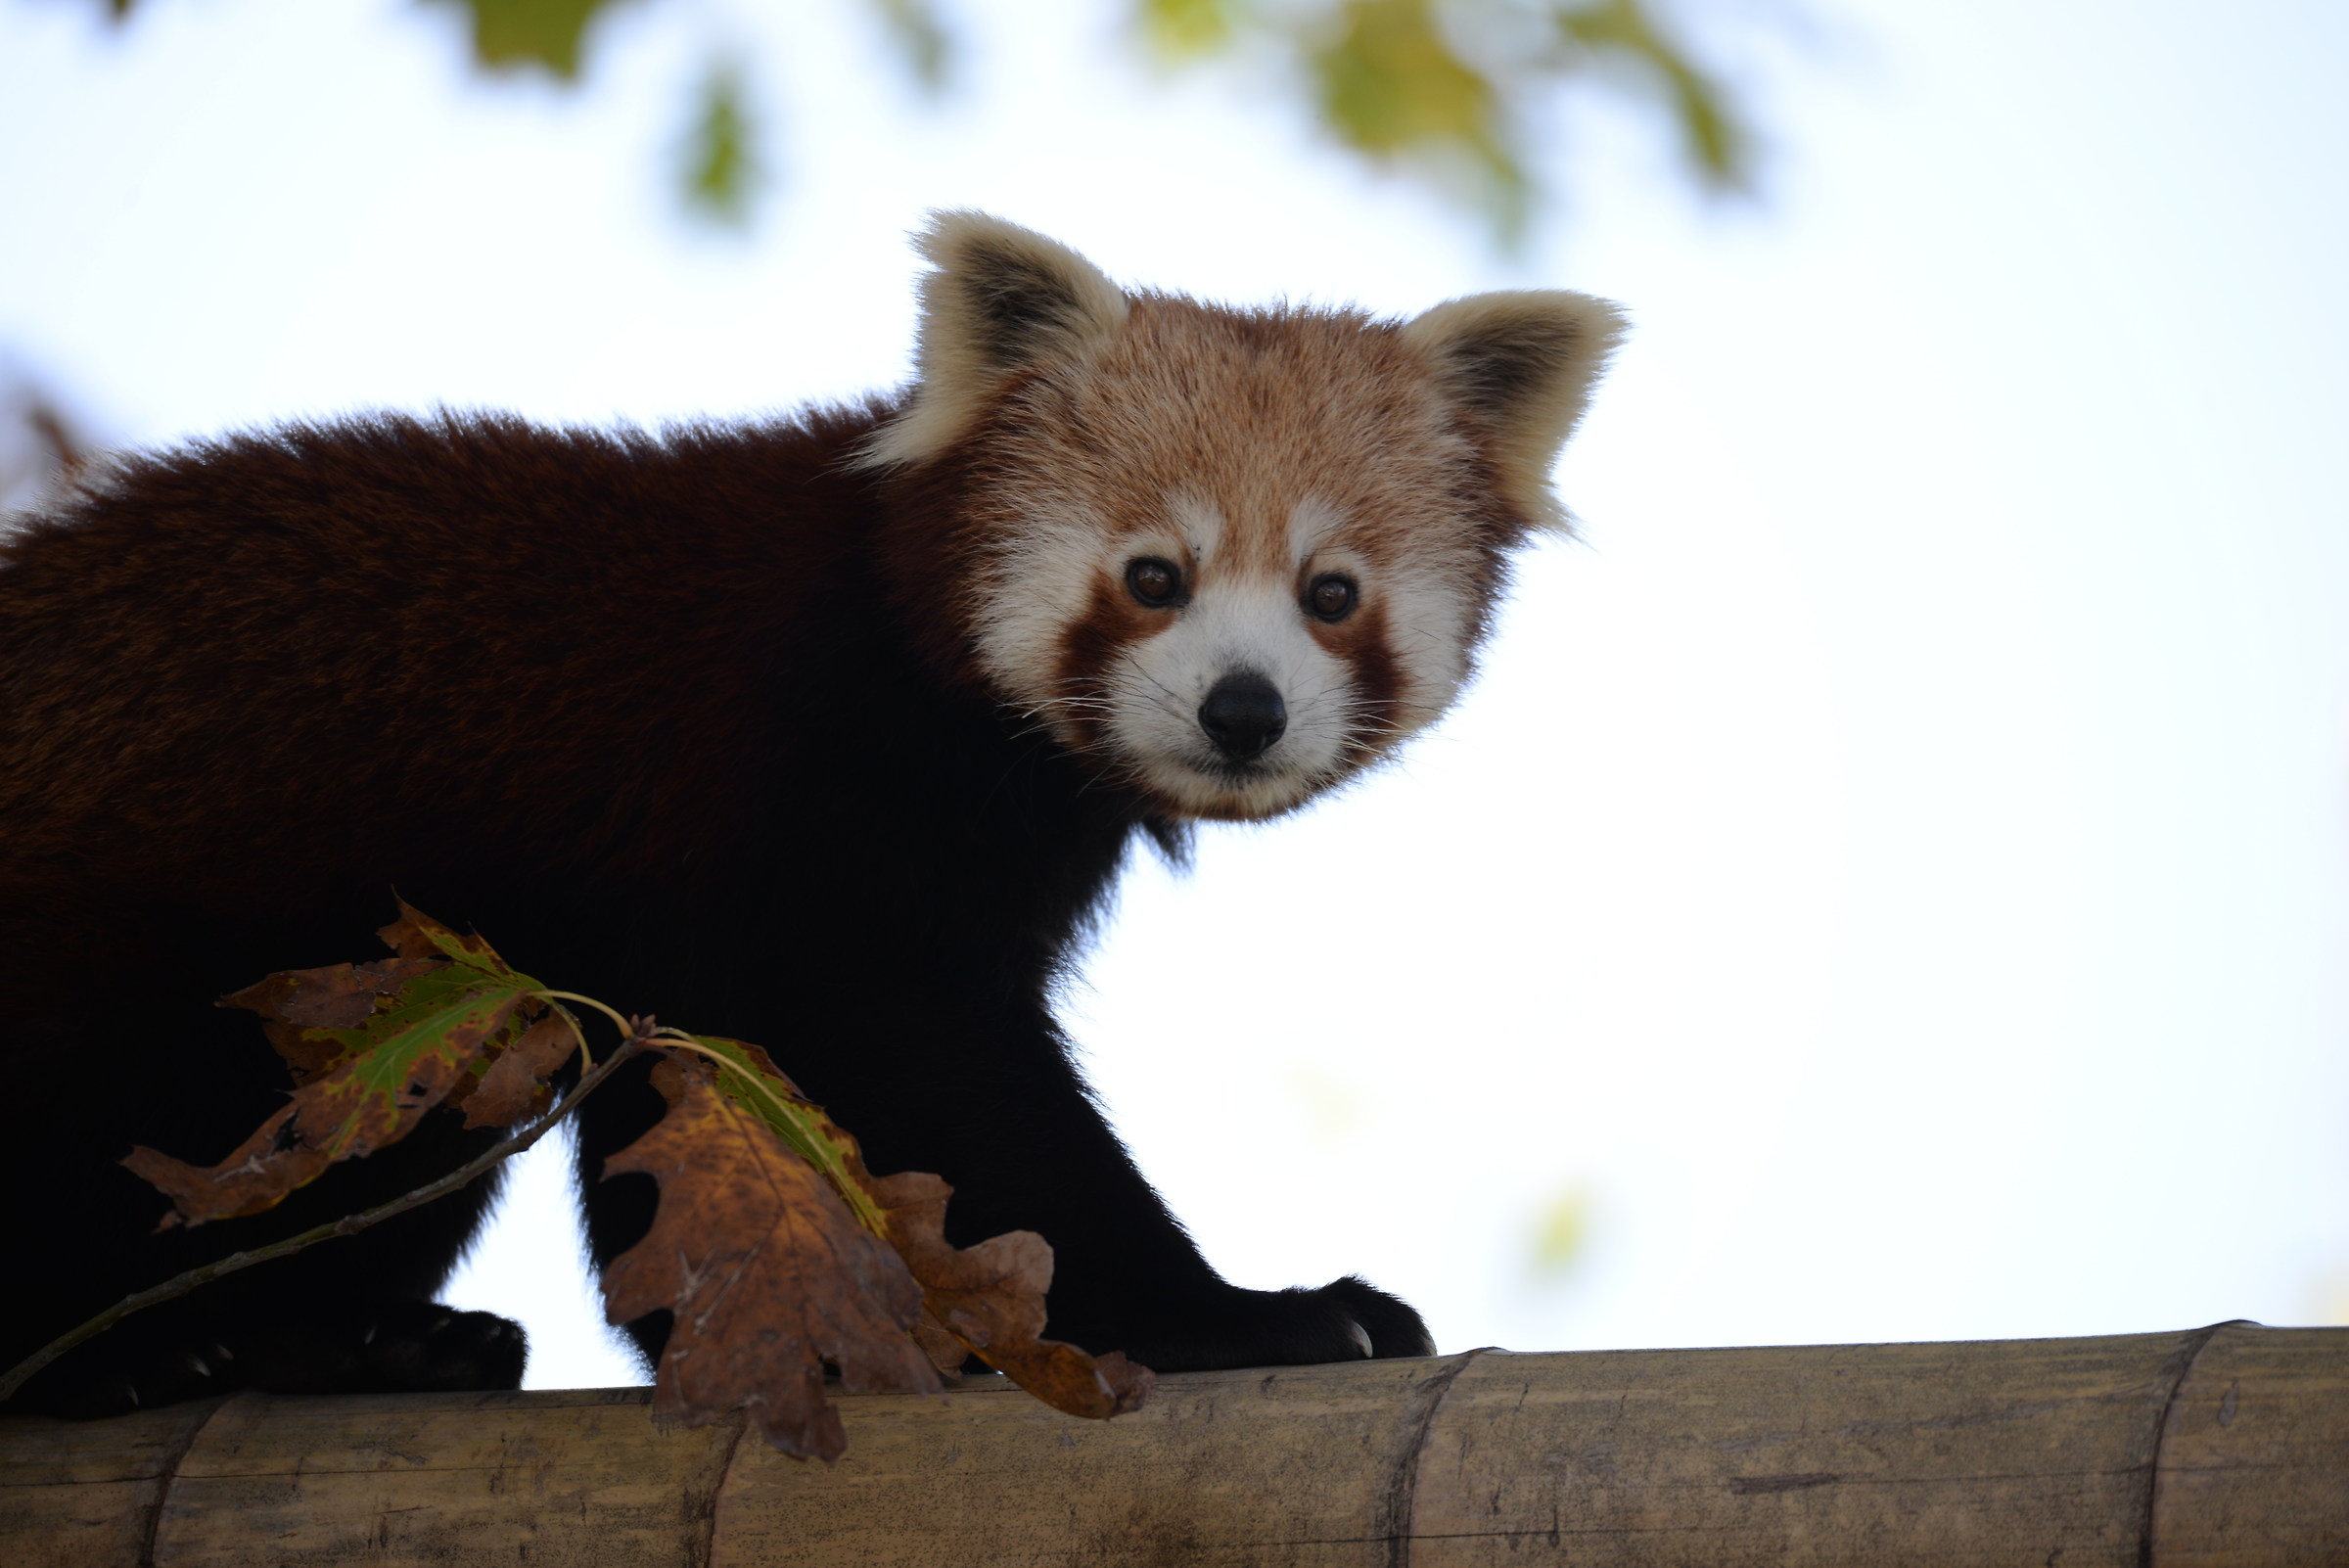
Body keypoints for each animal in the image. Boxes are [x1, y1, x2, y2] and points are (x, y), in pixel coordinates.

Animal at [0, 213, 1622, 1417]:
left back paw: (356, 1343)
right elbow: (938, 1079)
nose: (1243, 708)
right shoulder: (802, 798)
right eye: (1153, 576)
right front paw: (1238, 1313)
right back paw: (130, 1351)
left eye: (1330, 593)